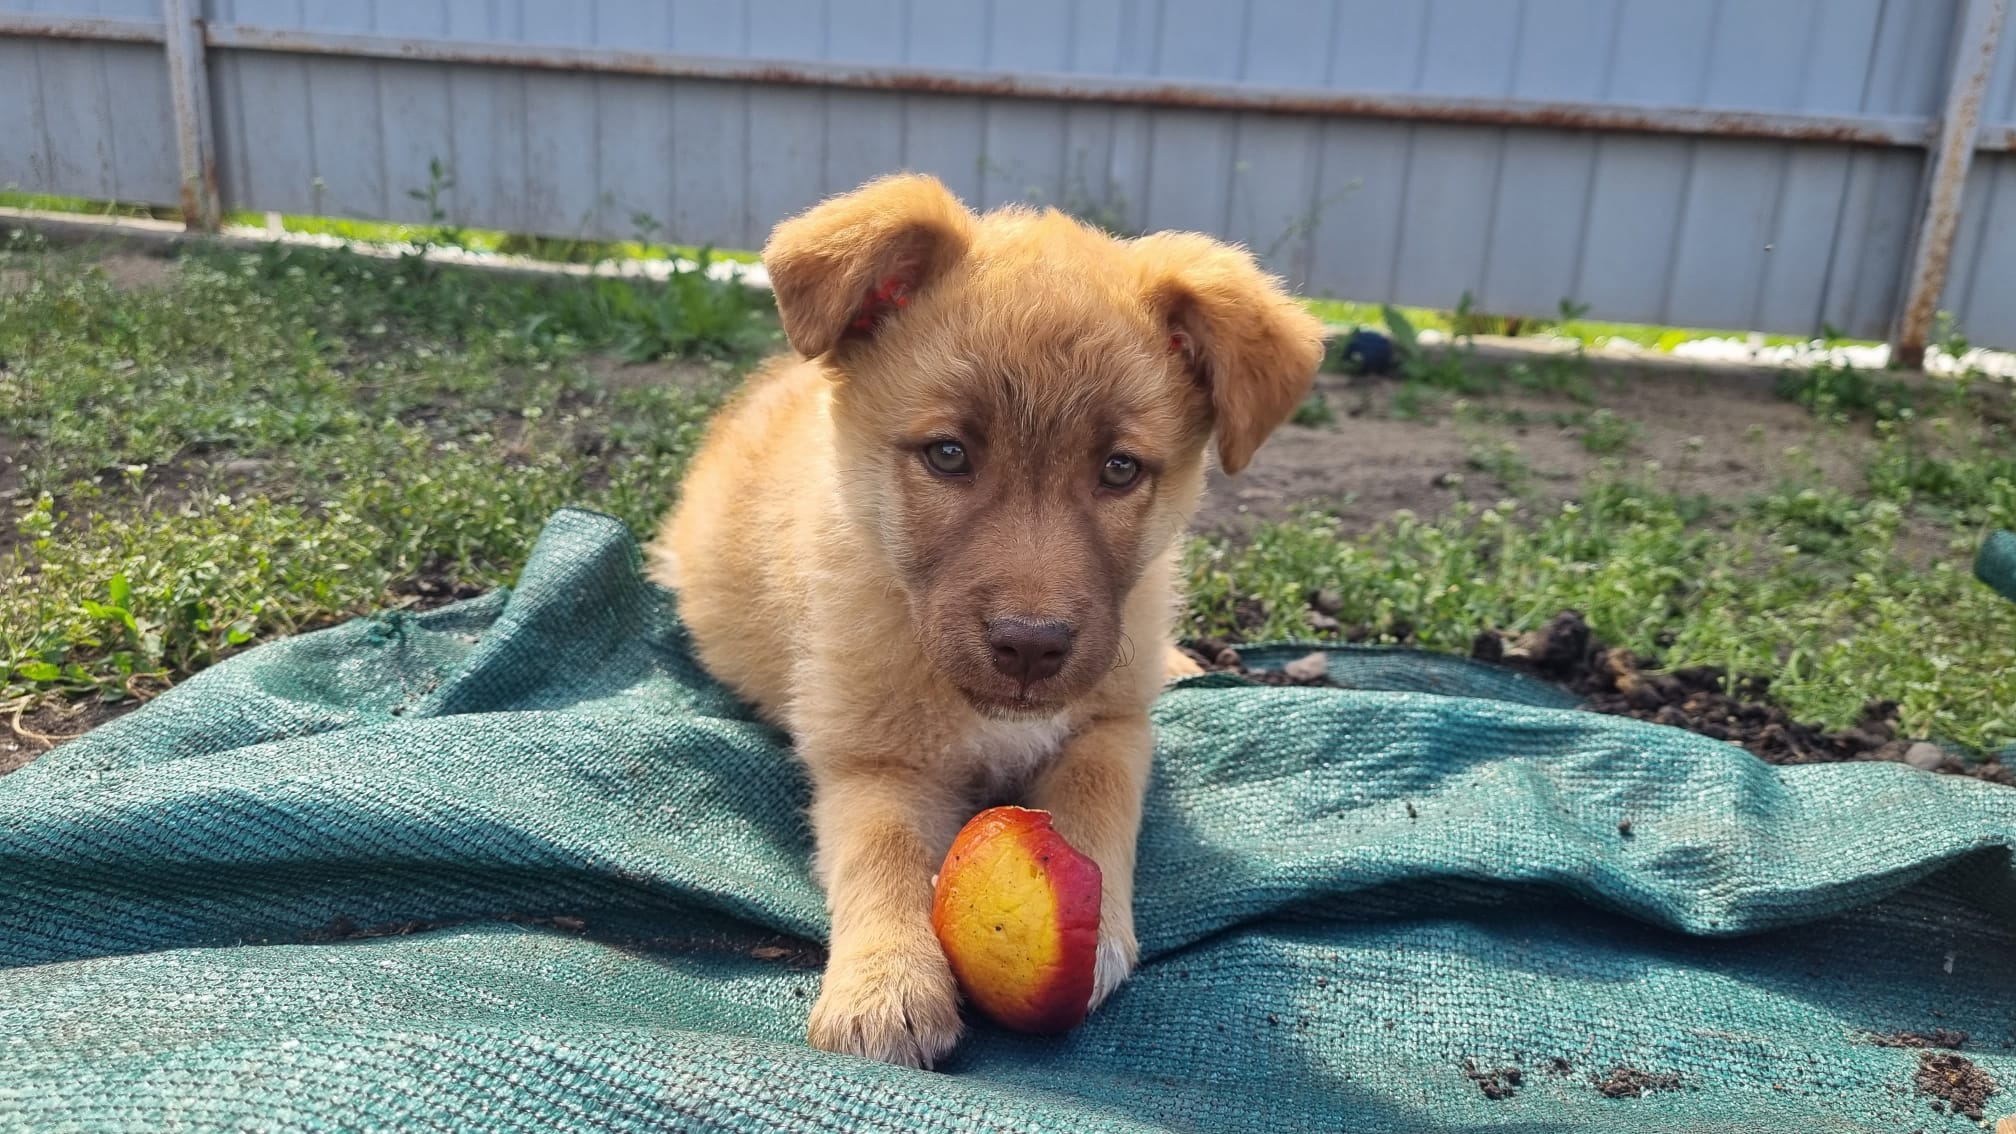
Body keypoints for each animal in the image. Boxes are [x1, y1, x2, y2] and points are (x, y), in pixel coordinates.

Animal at [648, 172, 1323, 1068]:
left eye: (1119, 470)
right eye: (948, 455)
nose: (1031, 648)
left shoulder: (1111, 724)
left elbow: (1096, 799)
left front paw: (1098, 931)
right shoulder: (871, 761)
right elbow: (884, 852)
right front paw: (884, 984)